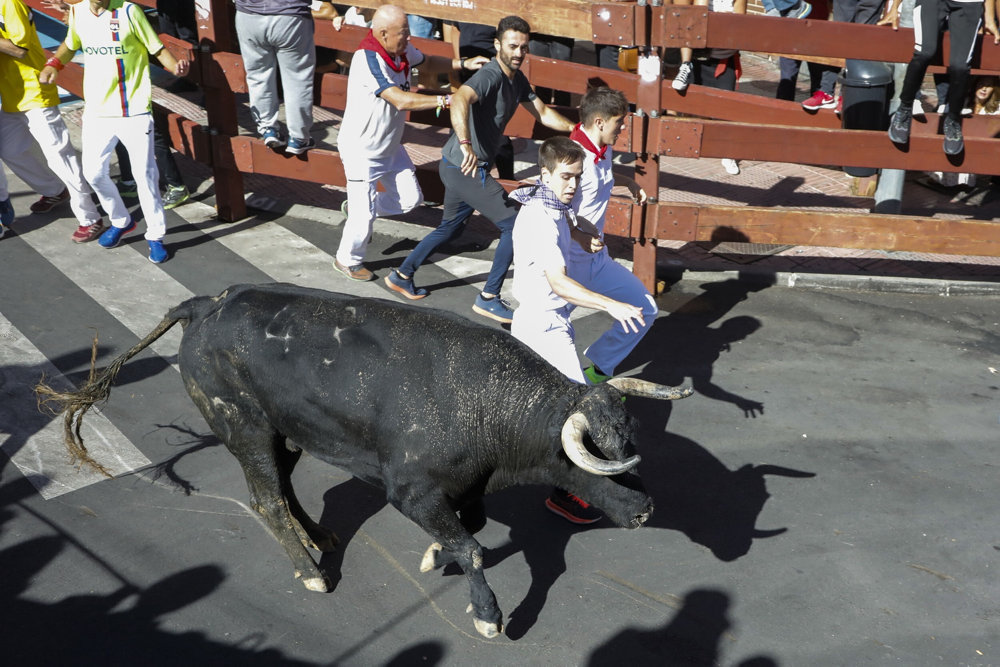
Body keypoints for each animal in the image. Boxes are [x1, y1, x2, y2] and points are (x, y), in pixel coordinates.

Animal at [41, 284, 696, 640]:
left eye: (630, 440)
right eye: (596, 458)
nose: (646, 509)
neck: (485, 403)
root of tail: (208, 304)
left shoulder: (460, 490)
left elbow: (471, 530)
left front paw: (434, 555)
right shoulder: (411, 492)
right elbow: (474, 548)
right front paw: (488, 614)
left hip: (287, 432)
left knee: (285, 486)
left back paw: (321, 538)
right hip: (244, 427)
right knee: (266, 497)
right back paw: (310, 570)